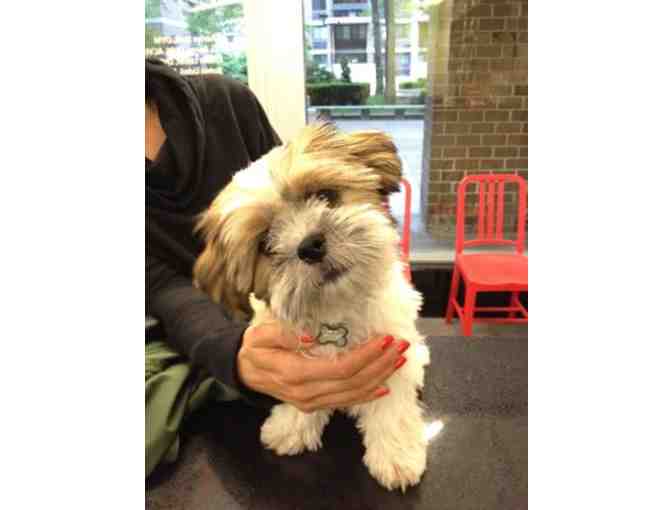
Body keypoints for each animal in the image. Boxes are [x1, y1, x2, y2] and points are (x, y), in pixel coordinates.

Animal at [193, 123, 430, 491]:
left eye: (326, 196)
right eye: (265, 244)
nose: (310, 246)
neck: (338, 311)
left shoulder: (393, 354)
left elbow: (392, 408)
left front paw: (395, 455)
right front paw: (291, 426)